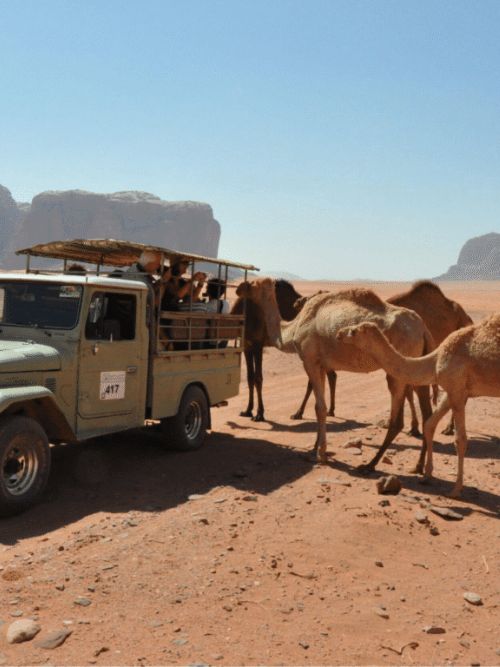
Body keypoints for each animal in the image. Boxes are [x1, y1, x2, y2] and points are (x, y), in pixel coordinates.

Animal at [231, 280, 336, 422]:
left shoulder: (258, 344)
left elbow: (258, 378)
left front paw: (259, 414)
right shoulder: (247, 345)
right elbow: (250, 377)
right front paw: (247, 410)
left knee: (316, 379)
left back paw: (299, 413)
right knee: (331, 375)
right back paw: (329, 410)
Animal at [336, 316, 500, 497]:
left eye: (354, 331)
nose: (339, 333)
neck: (435, 360)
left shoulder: (456, 388)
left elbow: (460, 440)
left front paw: (456, 490)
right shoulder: (455, 391)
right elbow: (429, 425)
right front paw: (426, 475)